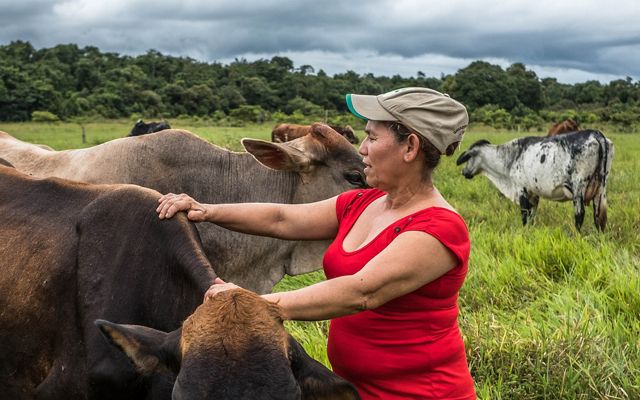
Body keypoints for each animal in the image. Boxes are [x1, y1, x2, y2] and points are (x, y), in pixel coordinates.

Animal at [458, 130, 612, 231]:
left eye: (469, 157)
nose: (464, 172)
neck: (512, 156)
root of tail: (596, 134)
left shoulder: (521, 189)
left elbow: (524, 214)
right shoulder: (534, 194)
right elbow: (532, 216)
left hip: (578, 188)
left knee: (580, 214)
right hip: (600, 189)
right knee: (598, 215)